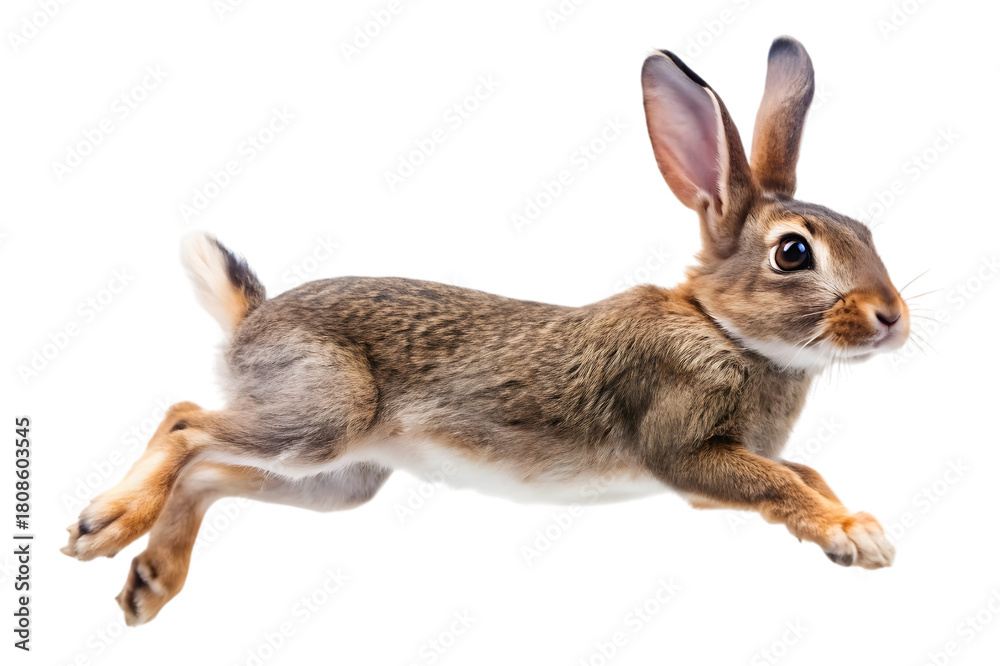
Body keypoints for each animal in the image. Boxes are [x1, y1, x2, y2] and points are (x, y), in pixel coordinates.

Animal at [62, 36, 909, 626]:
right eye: (794, 252)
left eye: (868, 230)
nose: (892, 318)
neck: (724, 329)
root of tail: (254, 318)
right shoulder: (683, 451)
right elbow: (780, 482)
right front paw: (857, 535)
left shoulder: (708, 480)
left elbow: (804, 474)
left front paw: (856, 525)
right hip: (320, 415)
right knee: (187, 422)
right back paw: (104, 526)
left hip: (340, 480)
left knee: (208, 469)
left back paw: (149, 583)